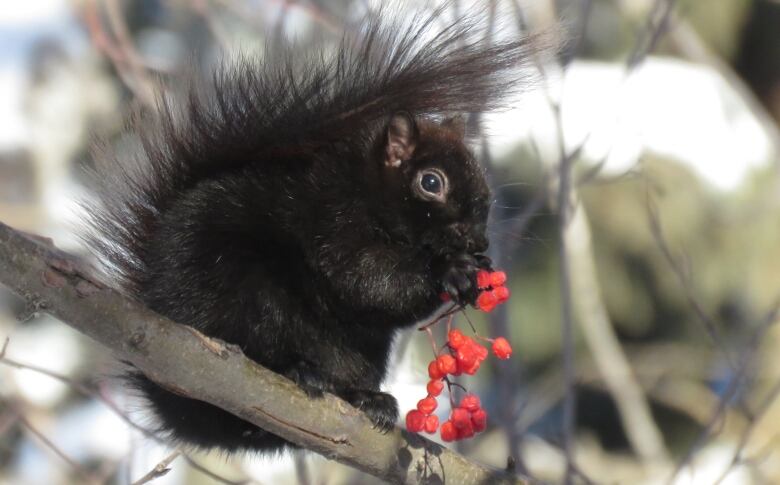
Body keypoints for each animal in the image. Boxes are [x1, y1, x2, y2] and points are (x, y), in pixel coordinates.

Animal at [84, 5, 536, 452]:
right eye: (430, 182)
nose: (479, 240)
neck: (366, 190)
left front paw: (475, 269)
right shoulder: (332, 221)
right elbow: (366, 278)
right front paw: (450, 270)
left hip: (360, 352)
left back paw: (367, 399)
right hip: (246, 297)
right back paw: (296, 370)